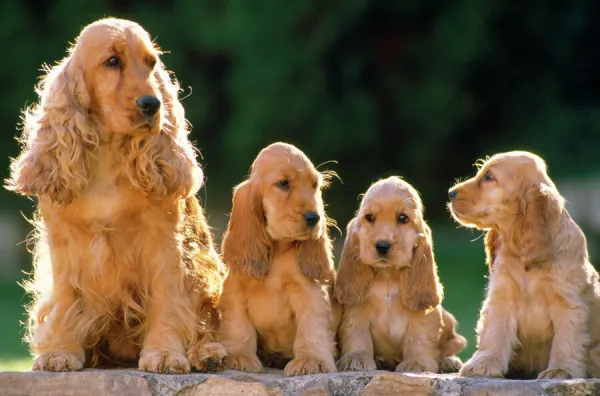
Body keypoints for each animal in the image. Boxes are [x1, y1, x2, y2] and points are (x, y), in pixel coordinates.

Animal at [5, 17, 225, 374]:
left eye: (151, 63)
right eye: (112, 61)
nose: (153, 104)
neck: (108, 153)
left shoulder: (163, 241)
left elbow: (168, 300)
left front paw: (164, 354)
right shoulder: (63, 243)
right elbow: (64, 300)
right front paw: (59, 352)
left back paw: (206, 354)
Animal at [219, 143, 342, 378]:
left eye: (314, 185)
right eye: (283, 183)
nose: (314, 218)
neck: (278, 248)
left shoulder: (309, 291)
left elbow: (311, 326)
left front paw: (311, 360)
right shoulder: (235, 289)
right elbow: (238, 325)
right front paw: (238, 356)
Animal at [336, 178, 466, 372]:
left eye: (403, 218)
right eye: (369, 218)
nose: (382, 245)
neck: (388, 276)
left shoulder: (424, 311)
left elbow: (419, 335)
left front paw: (417, 363)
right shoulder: (356, 307)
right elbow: (356, 332)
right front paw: (356, 358)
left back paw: (448, 362)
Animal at [448, 150, 600, 378]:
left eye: (488, 177)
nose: (450, 193)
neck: (522, 255)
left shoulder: (568, 303)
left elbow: (567, 340)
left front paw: (561, 370)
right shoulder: (501, 298)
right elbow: (494, 333)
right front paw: (483, 364)